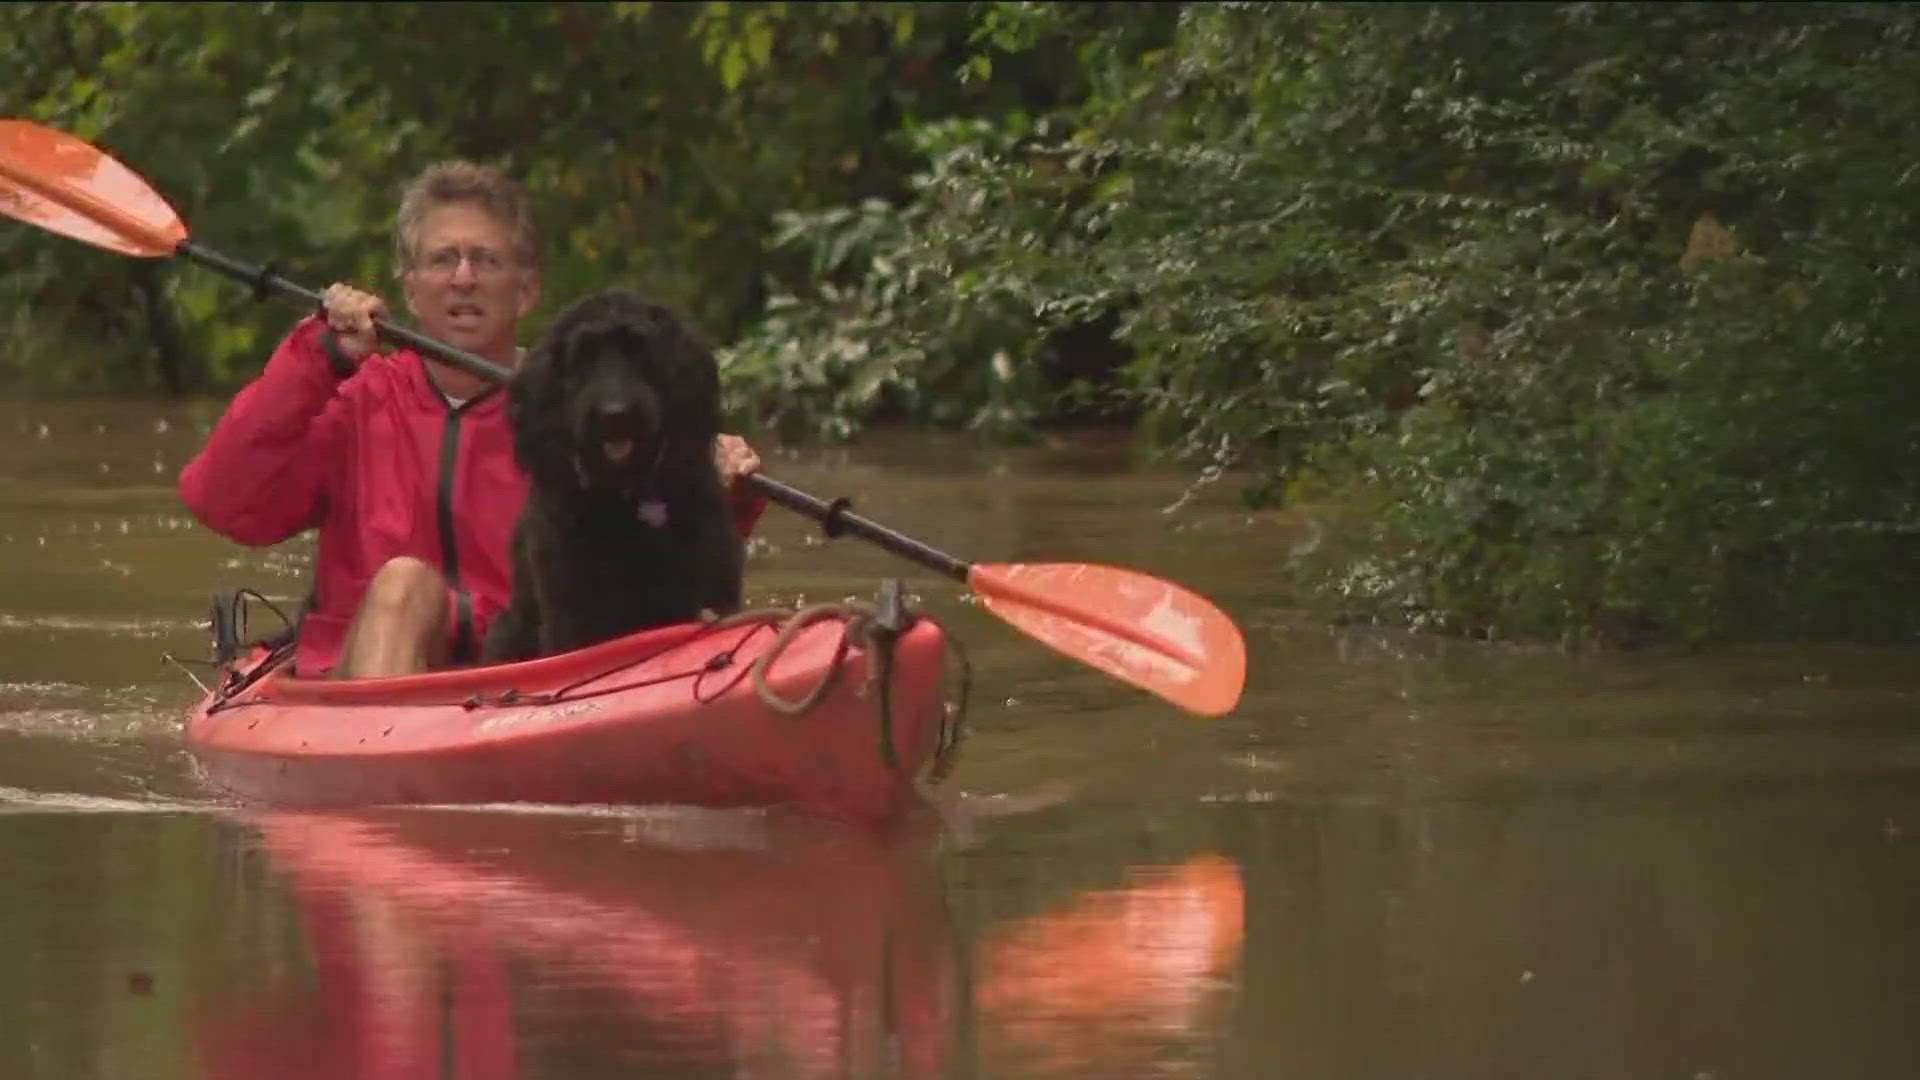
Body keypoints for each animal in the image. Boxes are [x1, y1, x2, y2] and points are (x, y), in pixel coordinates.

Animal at [483, 286, 744, 661]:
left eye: (639, 349)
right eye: (583, 355)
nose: (615, 415)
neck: (623, 496)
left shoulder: (706, 589)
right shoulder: (570, 608)